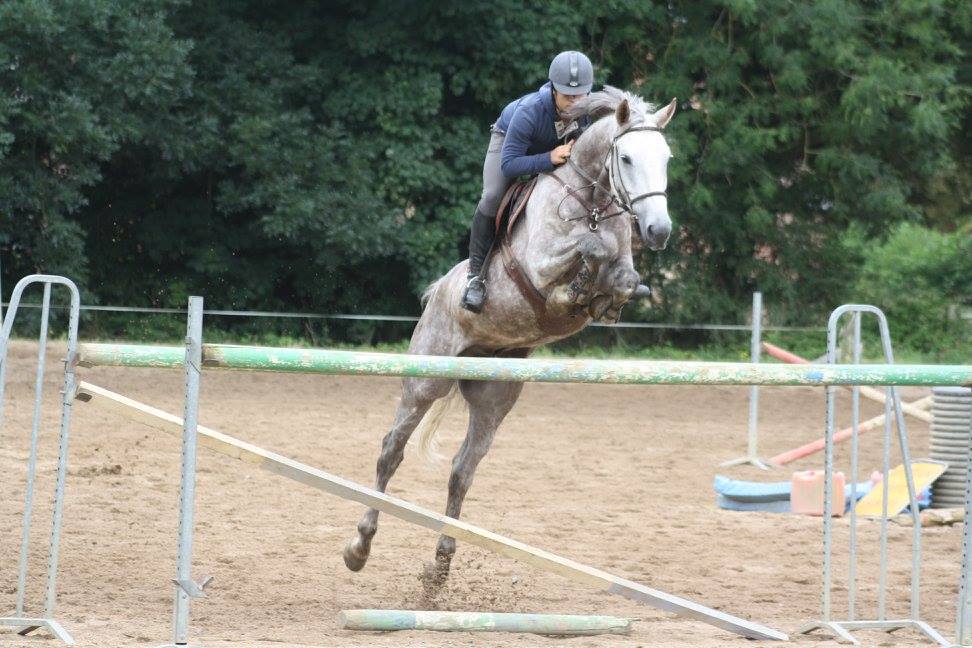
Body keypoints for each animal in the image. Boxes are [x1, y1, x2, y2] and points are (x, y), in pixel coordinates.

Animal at [344, 87, 676, 584]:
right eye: (628, 158)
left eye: (667, 158)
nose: (659, 231)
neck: (593, 200)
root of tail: (436, 293)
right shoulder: (540, 263)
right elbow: (587, 248)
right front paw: (579, 286)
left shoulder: (620, 260)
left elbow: (622, 276)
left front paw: (606, 298)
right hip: (427, 378)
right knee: (391, 451)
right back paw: (359, 547)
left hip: (495, 396)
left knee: (462, 470)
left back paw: (442, 562)